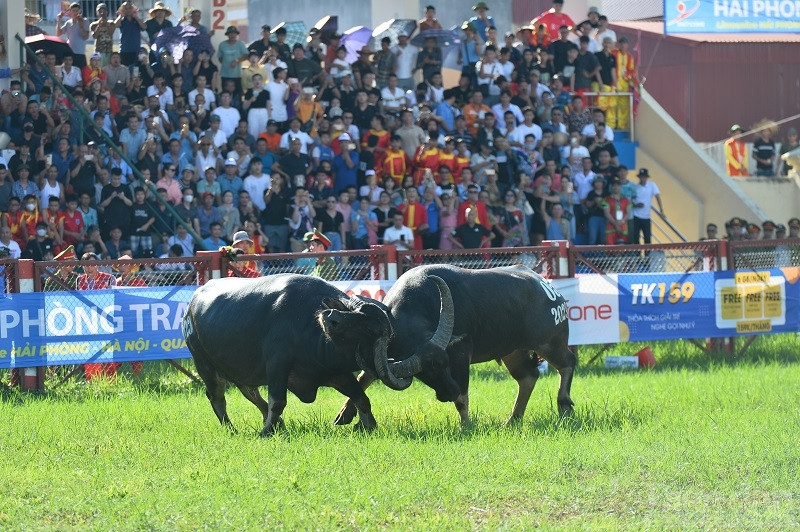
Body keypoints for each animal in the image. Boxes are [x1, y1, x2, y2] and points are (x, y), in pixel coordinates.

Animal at [184, 274, 404, 436]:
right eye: (353, 313)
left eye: (369, 328)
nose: (330, 316)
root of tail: (190, 306)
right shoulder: (277, 365)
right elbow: (278, 402)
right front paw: (266, 431)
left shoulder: (337, 373)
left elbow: (361, 397)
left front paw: (369, 425)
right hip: (204, 365)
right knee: (217, 397)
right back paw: (232, 429)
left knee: (249, 391)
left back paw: (276, 423)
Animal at [318, 264, 576, 424]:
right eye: (423, 373)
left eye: (444, 363)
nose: (449, 391)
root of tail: (546, 286)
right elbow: (365, 377)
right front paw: (344, 414)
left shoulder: (462, 355)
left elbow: (463, 398)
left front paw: (466, 426)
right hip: (513, 351)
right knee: (528, 377)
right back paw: (512, 420)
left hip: (550, 342)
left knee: (567, 363)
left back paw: (564, 408)